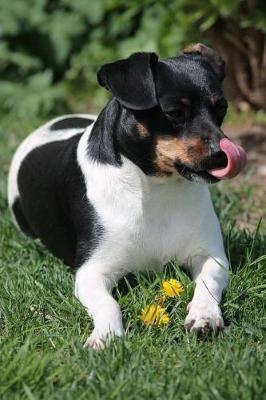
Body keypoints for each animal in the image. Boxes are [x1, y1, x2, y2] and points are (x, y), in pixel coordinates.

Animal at [7, 45, 245, 348]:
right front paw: (106, 334)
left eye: (221, 109)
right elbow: (108, 304)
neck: (156, 188)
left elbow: (208, 284)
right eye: (174, 113)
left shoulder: (210, 256)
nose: (223, 154)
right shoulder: (90, 271)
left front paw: (204, 316)